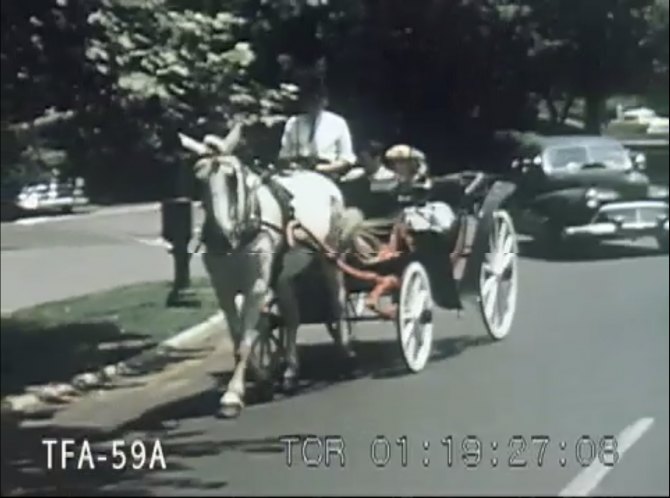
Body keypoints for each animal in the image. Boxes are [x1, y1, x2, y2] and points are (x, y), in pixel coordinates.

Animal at [181, 123, 376, 416]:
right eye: (197, 178)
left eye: (232, 178)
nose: (223, 238)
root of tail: (320, 177)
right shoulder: (223, 289)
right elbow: (240, 338)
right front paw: (262, 380)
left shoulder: (257, 286)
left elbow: (247, 339)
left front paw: (232, 396)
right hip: (284, 276)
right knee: (293, 318)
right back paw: (291, 373)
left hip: (330, 257)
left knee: (338, 303)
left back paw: (346, 353)